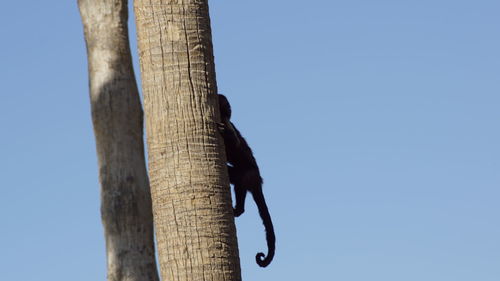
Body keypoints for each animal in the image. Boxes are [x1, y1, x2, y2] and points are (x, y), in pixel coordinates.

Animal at [217, 94, 276, 266]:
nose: (229, 107)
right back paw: (238, 209)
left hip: (249, 174)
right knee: (237, 182)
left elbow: (235, 142)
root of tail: (258, 179)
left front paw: (225, 133)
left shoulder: (226, 121)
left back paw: (238, 209)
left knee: (240, 184)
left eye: (227, 103)